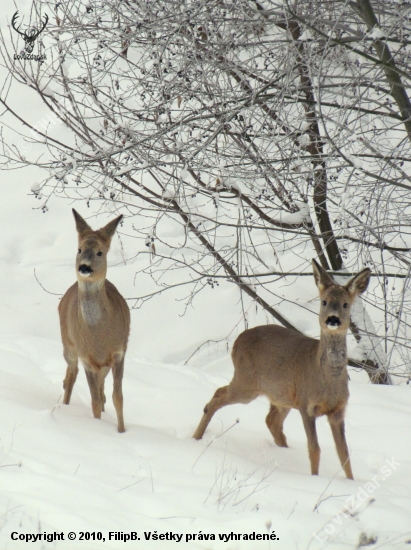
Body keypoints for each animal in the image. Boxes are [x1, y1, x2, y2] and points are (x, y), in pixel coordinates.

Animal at [58, 209, 130, 434]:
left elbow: (118, 397)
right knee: (70, 376)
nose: (84, 267)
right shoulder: (86, 358)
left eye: (100, 252)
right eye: (79, 249)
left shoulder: (119, 352)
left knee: (101, 389)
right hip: (68, 346)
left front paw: (121, 431)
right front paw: (97, 429)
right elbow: (95, 402)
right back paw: (65, 406)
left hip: (103, 365)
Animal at [192, 260, 370, 480]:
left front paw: (350, 481)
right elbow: (314, 449)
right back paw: (196, 438)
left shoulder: (338, 411)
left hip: (280, 395)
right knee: (218, 396)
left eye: (346, 304)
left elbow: (344, 453)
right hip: (246, 382)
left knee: (271, 421)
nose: (333, 319)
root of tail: (237, 340)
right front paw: (314, 478)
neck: (327, 381)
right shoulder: (306, 404)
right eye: (324, 301)